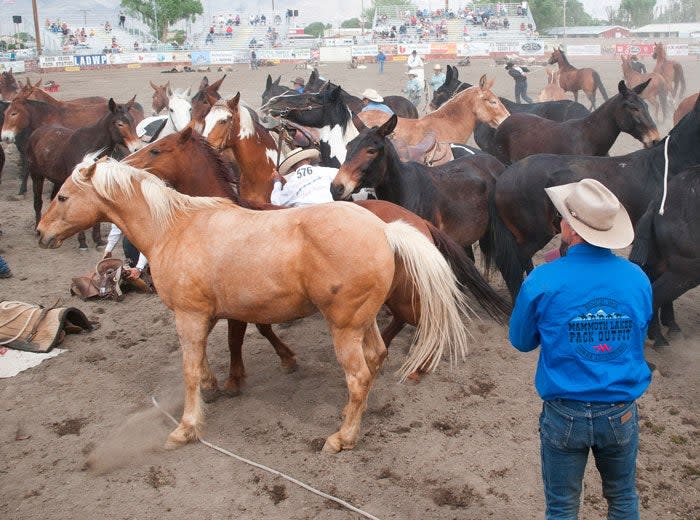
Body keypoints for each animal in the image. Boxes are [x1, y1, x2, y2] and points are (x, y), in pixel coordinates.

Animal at [39, 157, 476, 450]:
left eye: (61, 196)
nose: (41, 234)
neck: (176, 228)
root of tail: (385, 229)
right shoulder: (213, 315)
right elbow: (209, 359)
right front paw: (217, 385)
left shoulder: (189, 317)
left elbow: (189, 370)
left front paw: (186, 427)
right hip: (363, 322)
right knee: (377, 358)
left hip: (345, 328)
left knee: (359, 377)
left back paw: (343, 437)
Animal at [484, 91, 700, 298]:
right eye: (633, 108)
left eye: (646, 106)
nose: (653, 138)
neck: (664, 168)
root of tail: (504, 177)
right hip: (536, 234)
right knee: (516, 262)